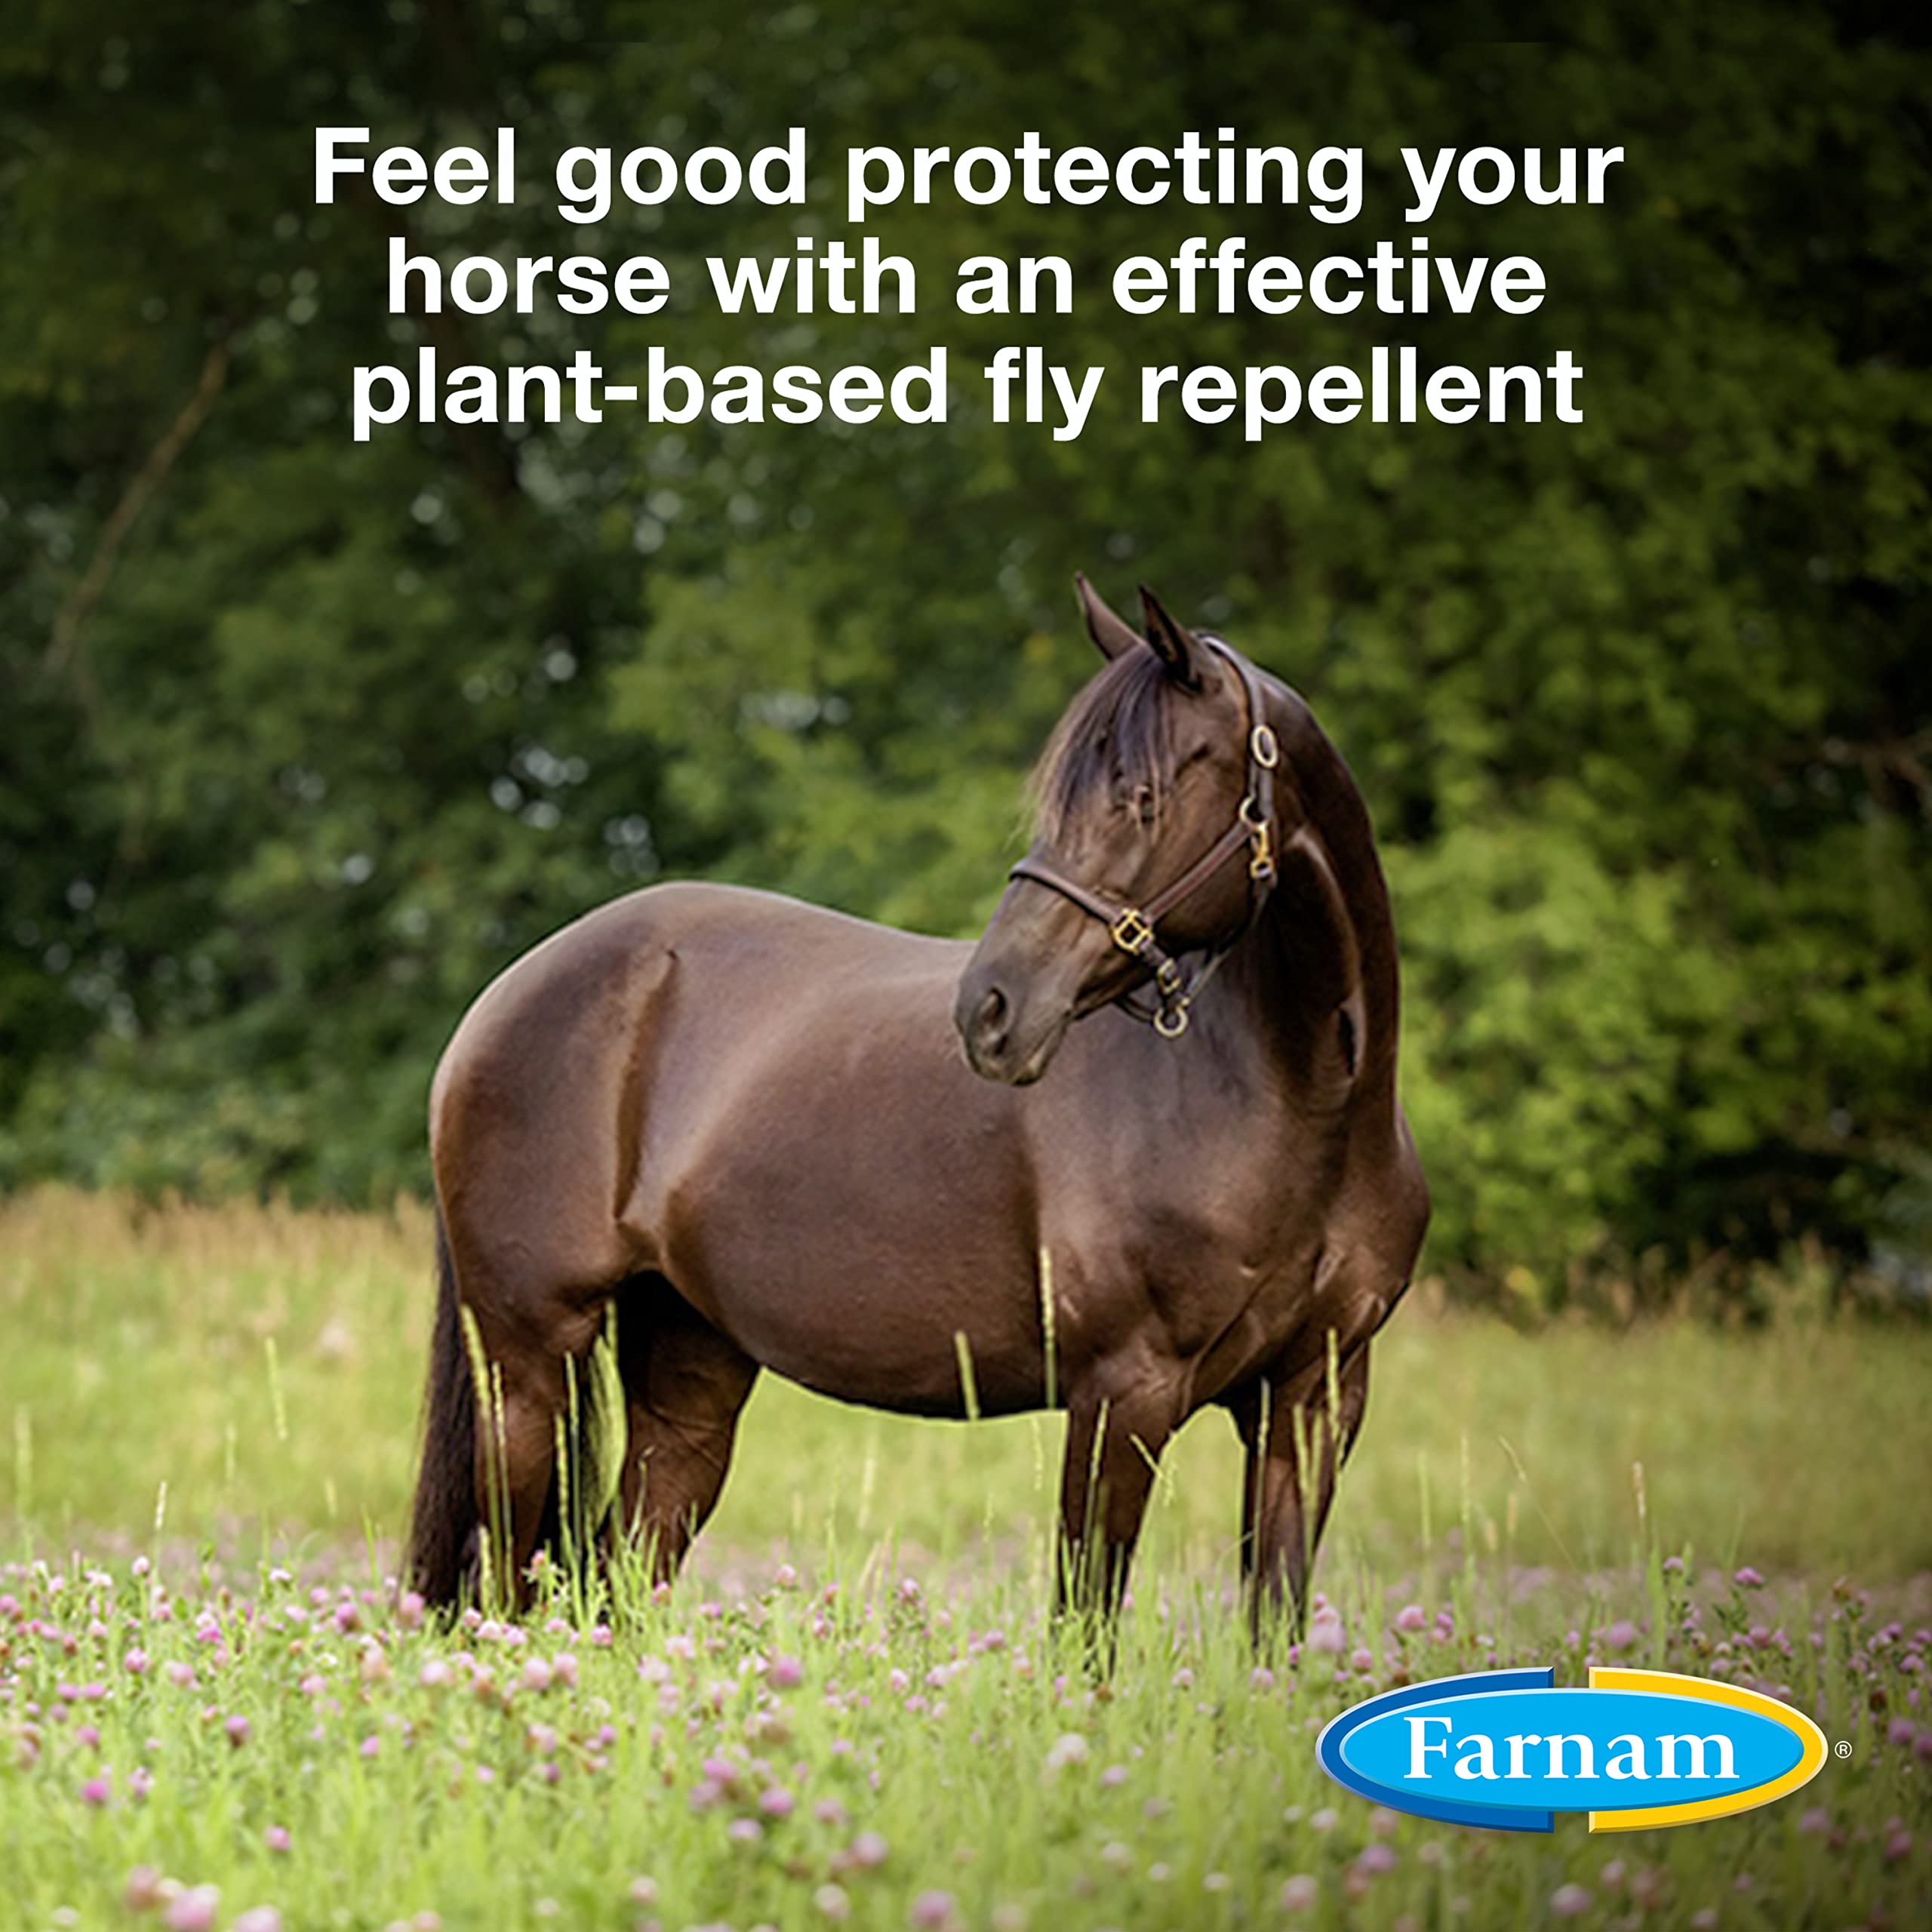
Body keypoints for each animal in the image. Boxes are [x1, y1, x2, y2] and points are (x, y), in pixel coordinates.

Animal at [406, 576, 1428, 1634]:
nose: (993, 1007)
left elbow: (1274, 1622)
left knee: (623, 1578)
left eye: (1142, 797)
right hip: (528, 1366)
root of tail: (505, 995)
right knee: (501, 1583)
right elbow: (1084, 1626)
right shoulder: (1124, 1391)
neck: (1300, 1107)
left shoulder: (1311, 1401)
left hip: (688, 1375)